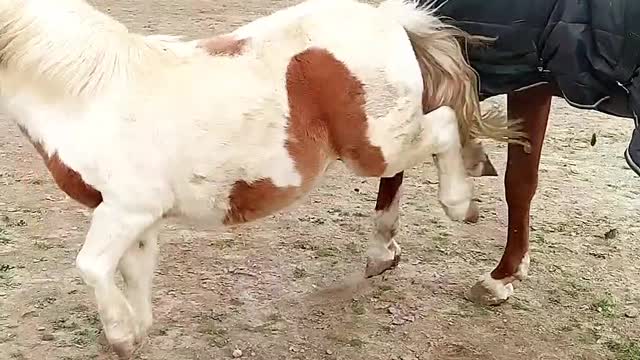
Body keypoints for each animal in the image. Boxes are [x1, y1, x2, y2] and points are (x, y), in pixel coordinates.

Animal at [0, 0, 520, 358]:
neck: (91, 93)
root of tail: (390, 20)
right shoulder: (135, 216)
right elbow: (135, 273)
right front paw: (135, 332)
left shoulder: (127, 209)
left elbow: (91, 266)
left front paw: (121, 333)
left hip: (377, 145)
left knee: (445, 125)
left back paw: (461, 204)